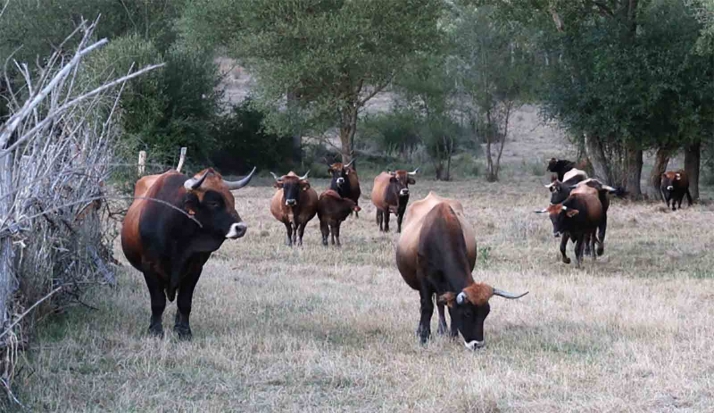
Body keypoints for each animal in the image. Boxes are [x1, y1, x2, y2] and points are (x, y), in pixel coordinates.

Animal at [121, 167, 256, 339]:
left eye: (232, 200)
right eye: (213, 202)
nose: (241, 228)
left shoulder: (194, 269)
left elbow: (184, 302)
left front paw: (184, 331)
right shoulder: (149, 268)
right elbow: (158, 302)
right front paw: (155, 330)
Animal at [396, 192, 528, 350]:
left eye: (486, 313)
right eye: (467, 313)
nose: (477, 344)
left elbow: (447, 306)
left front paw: (452, 335)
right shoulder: (424, 280)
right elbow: (427, 307)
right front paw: (424, 337)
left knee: (440, 303)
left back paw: (442, 330)